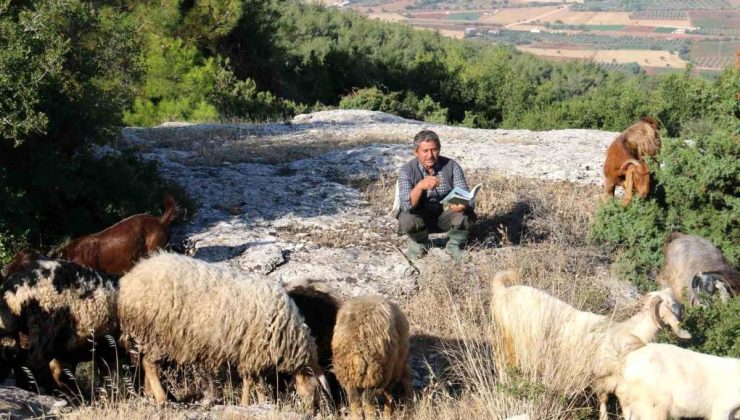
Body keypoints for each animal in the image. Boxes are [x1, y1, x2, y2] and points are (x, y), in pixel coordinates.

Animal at [118, 251, 326, 408]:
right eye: (316, 390)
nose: (311, 412)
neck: (288, 334)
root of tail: (128, 281)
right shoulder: (253, 351)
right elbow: (252, 382)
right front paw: (249, 403)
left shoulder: (251, 354)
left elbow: (254, 382)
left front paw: (257, 402)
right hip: (157, 332)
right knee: (150, 365)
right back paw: (161, 399)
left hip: (149, 334)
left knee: (146, 362)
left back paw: (150, 394)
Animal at [488, 270, 692, 418]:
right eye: (672, 305)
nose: (683, 313)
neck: (627, 334)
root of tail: (503, 290)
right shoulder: (600, 379)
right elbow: (603, 402)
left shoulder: (619, 384)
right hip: (510, 341)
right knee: (503, 362)